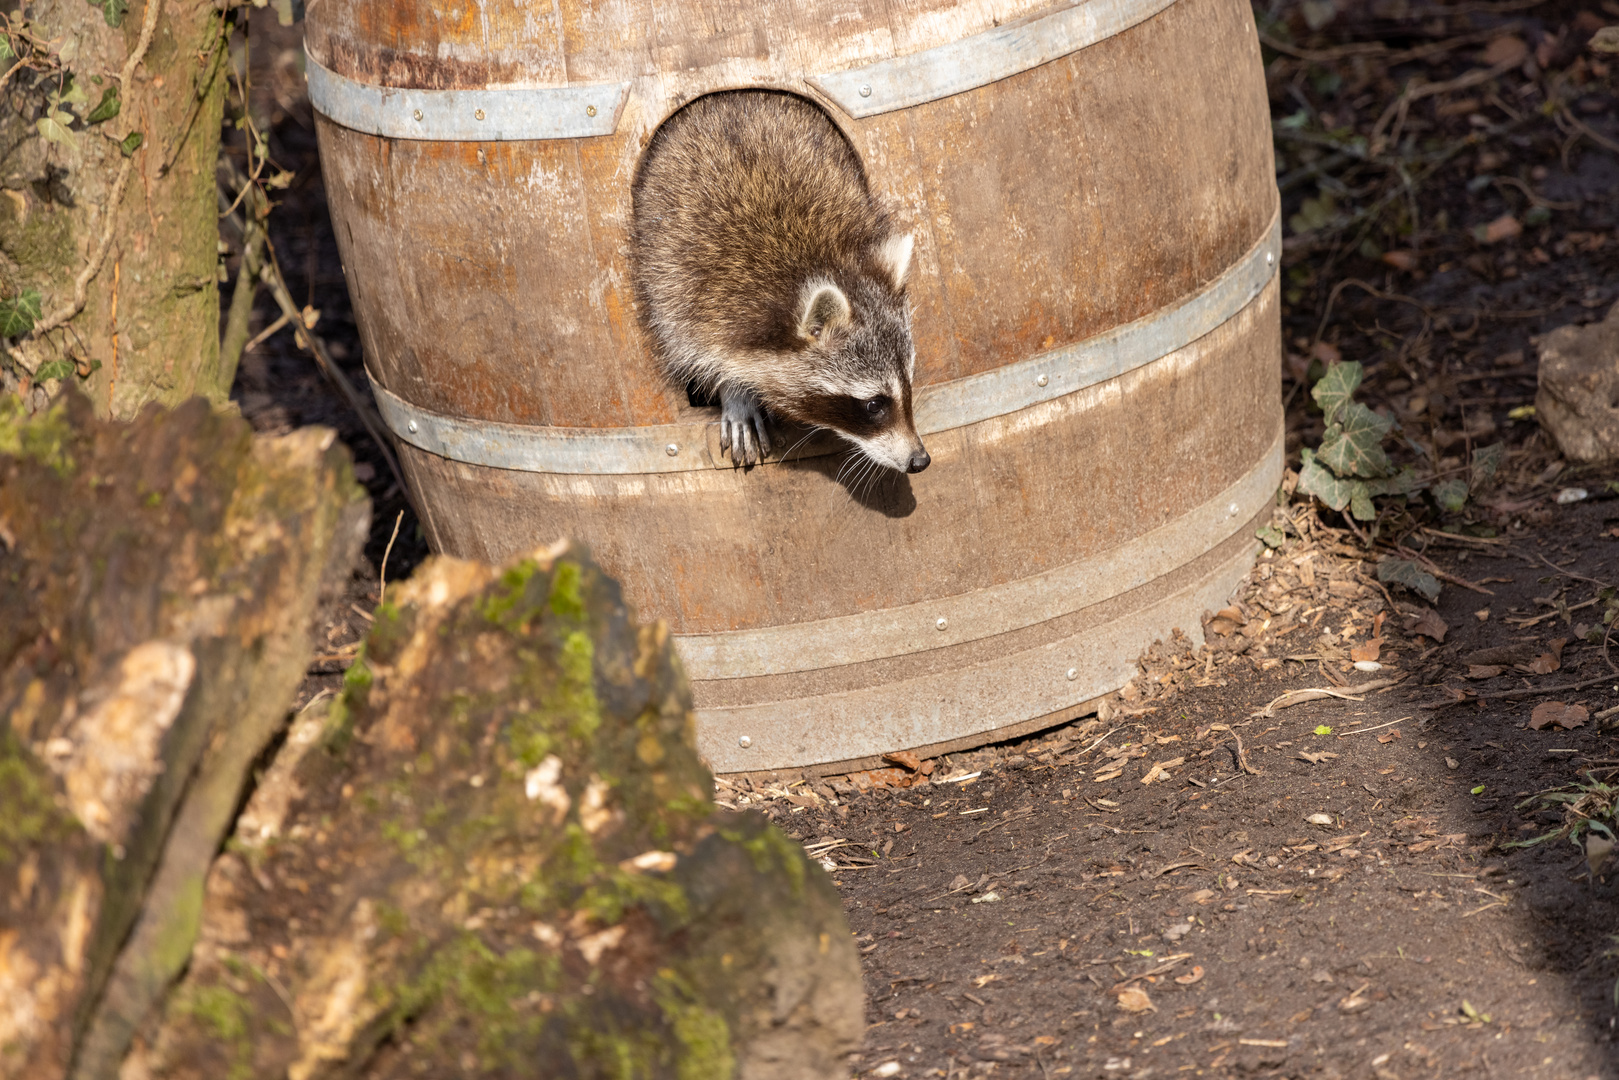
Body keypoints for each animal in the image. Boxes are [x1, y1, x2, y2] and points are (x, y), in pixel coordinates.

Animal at [628, 87, 932, 469]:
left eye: (909, 383)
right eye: (874, 404)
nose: (919, 460)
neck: (812, 262)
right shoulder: (681, 285)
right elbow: (694, 346)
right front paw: (735, 394)